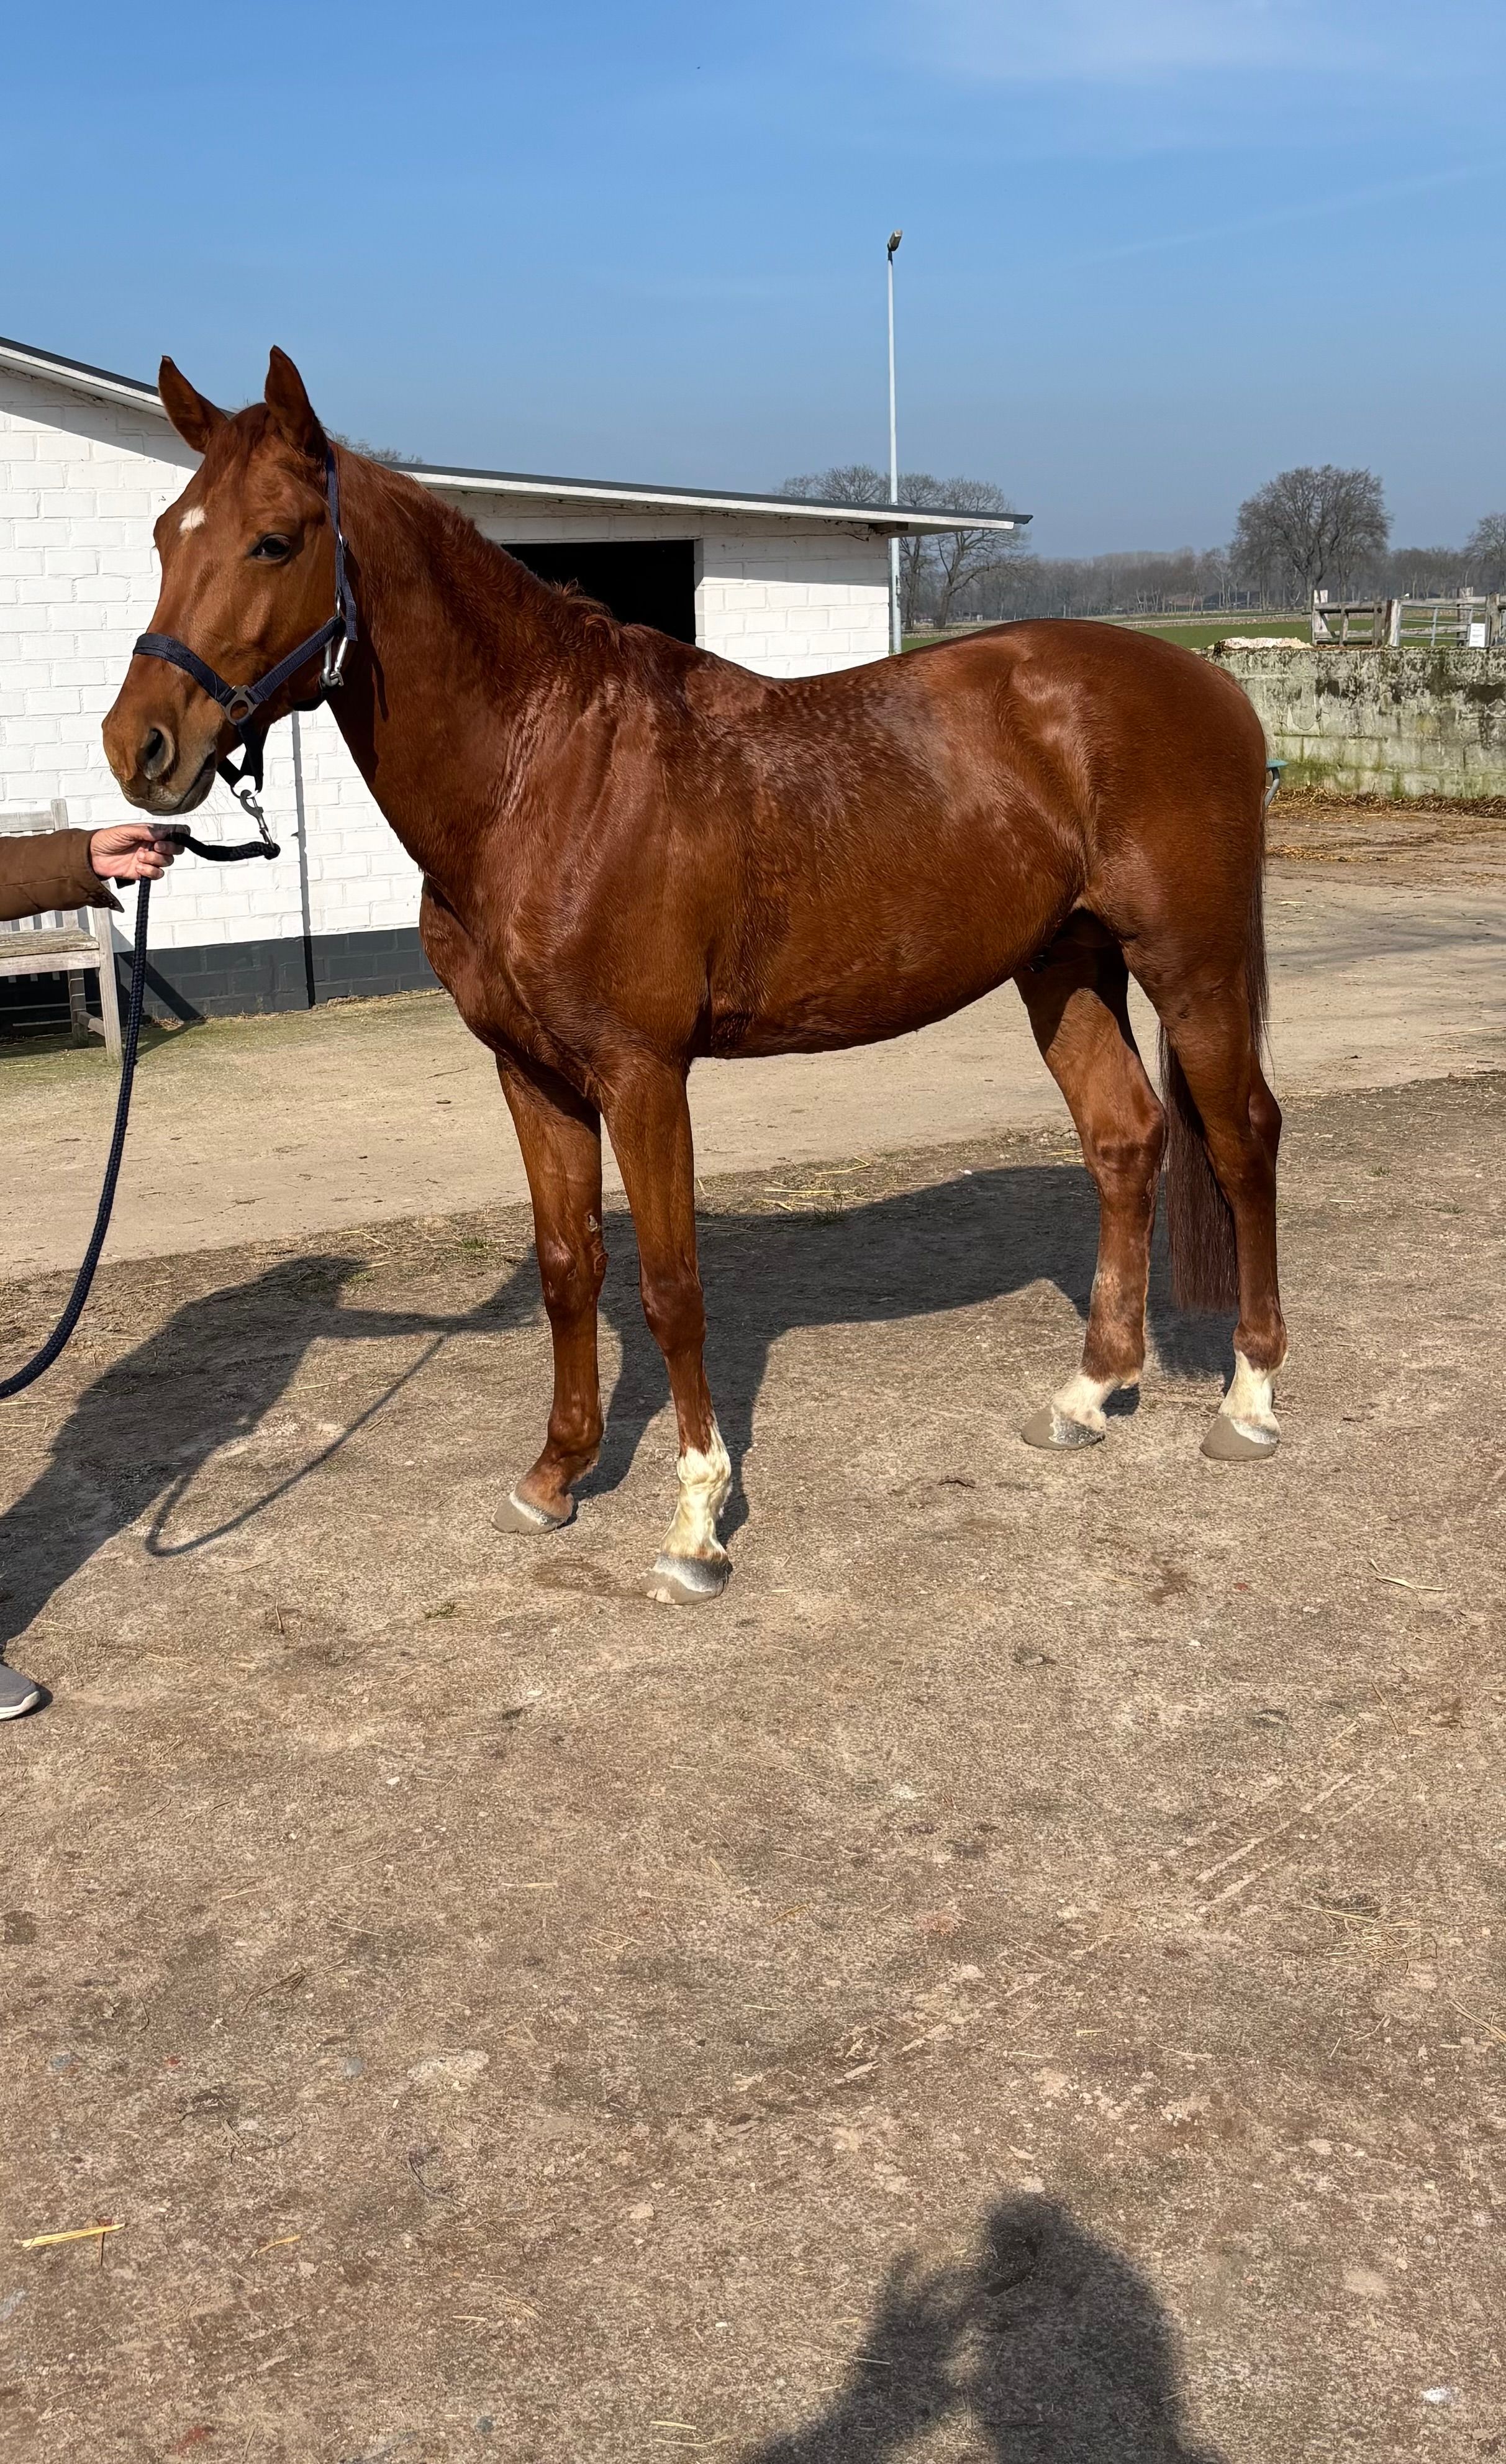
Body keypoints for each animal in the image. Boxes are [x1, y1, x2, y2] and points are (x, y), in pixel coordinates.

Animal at [103, 348, 1286, 1606]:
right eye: (165, 536)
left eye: (274, 541)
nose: (140, 746)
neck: (544, 773)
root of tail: (1212, 686)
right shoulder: (531, 1074)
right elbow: (569, 1265)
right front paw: (556, 1475)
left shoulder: (642, 1072)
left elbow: (671, 1286)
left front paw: (696, 1523)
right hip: (1064, 968)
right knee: (1124, 1140)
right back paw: (1088, 1394)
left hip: (1192, 964)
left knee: (1242, 1137)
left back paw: (1250, 1399)